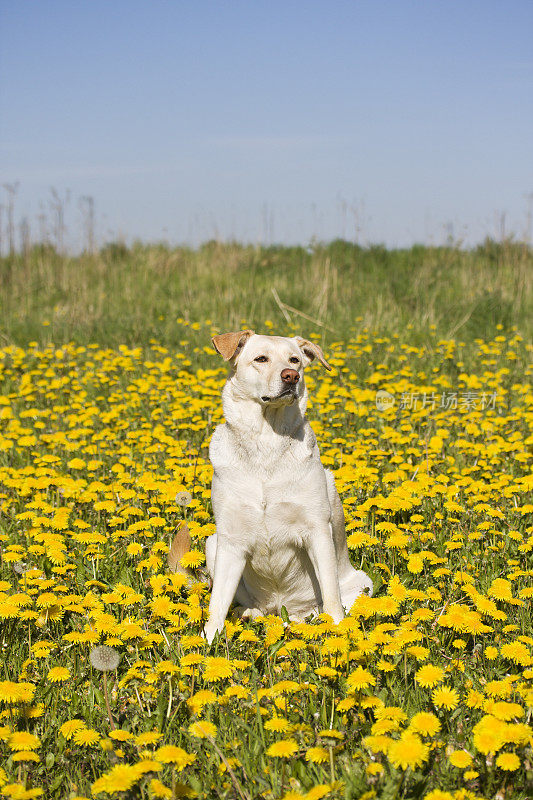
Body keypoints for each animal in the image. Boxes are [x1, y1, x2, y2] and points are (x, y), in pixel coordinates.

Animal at [202, 328, 372, 640]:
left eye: (295, 360)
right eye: (261, 358)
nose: (291, 376)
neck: (266, 443)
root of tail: (285, 611)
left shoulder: (317, 531)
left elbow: (331, 595)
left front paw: (338, 632)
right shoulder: (231, 540)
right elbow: (217, 602)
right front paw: (208, 640)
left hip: (361, 583)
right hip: (213, 543)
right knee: (249, 604)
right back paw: (248, 614)